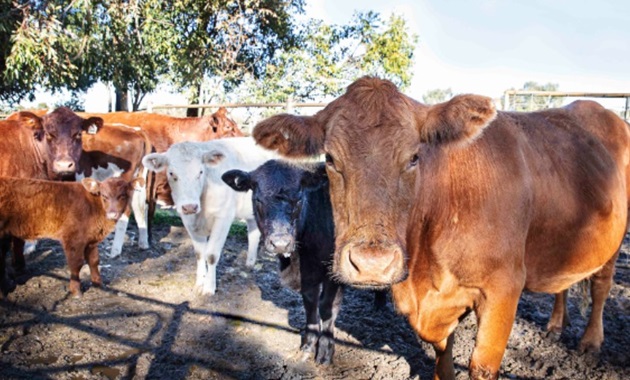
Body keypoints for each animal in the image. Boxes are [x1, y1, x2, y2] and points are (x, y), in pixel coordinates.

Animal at [0, 177, 144, 298]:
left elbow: (94, 260)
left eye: (122, 195)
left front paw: (98, 284)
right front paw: (76, 291)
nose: (112, 214)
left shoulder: (91, 240)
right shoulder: (73, 239)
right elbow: (76, 264)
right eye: (104, 196)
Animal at [147, 136, 280, 294]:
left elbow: (211, 255)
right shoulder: (187, 219)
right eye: (172, 173)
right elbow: (199, 253)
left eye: (200, 172)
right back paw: (250, 263)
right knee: (254, 232)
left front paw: (209, 288)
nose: (190, 206)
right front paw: (199, 283)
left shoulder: (223, 217)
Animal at [223, 159, 344, 364]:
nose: (280, 243)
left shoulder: (334, 273)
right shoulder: (307, 276)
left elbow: (327, 306)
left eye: (300, 199)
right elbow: (310, 303)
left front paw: (325, 350)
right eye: (258, 199)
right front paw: (308, 343)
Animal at [253, 77, 630, 380]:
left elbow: (481, 365)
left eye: (414, 157)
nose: (372, 264)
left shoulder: (503, 289)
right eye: (330, 159)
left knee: (601, 285)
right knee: (563, 284)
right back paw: (554, 326)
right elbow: (442, 354)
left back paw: (591, 341)